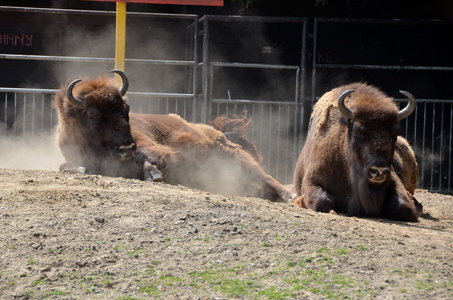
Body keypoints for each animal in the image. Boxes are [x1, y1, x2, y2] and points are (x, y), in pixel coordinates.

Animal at [53, 69, 294, 204]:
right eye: (92, 116)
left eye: (126, 110)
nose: (126, 148)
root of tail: (217, 132)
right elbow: (64, 166)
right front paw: (81, 169)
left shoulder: (147, 144)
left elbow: (149, 156)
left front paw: (154, 175)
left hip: (237, 158)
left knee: (267, 177)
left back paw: (289, 196)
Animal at [294, 83, 420, 221]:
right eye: (356, 131)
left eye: (395, 134)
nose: (379, 171)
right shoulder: (311, 180)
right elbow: (322, 202)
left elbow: (403, 207)